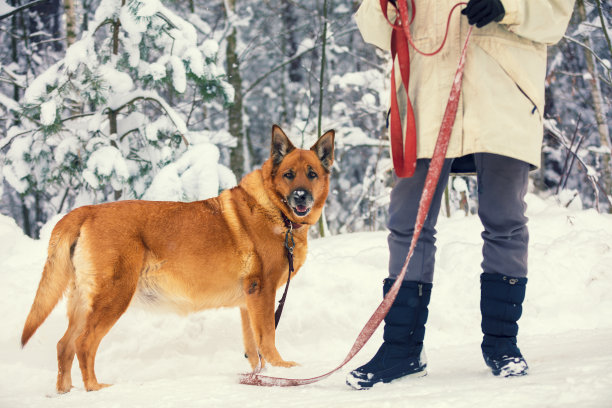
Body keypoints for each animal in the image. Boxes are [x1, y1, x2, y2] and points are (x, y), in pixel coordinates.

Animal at [20, 125, 334, 392]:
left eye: (312, 174)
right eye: (289, 174)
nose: (301, 196)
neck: (277, 212)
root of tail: (85, 211)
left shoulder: (248, 303)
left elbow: (254, 349)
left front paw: (262, 376)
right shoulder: (263, 293)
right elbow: (267, 339)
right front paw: (283, 370)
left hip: (83, 301)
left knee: (64, 346)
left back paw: (65, 392)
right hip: (114, 296)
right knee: (84, 344)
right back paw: (95, 389)